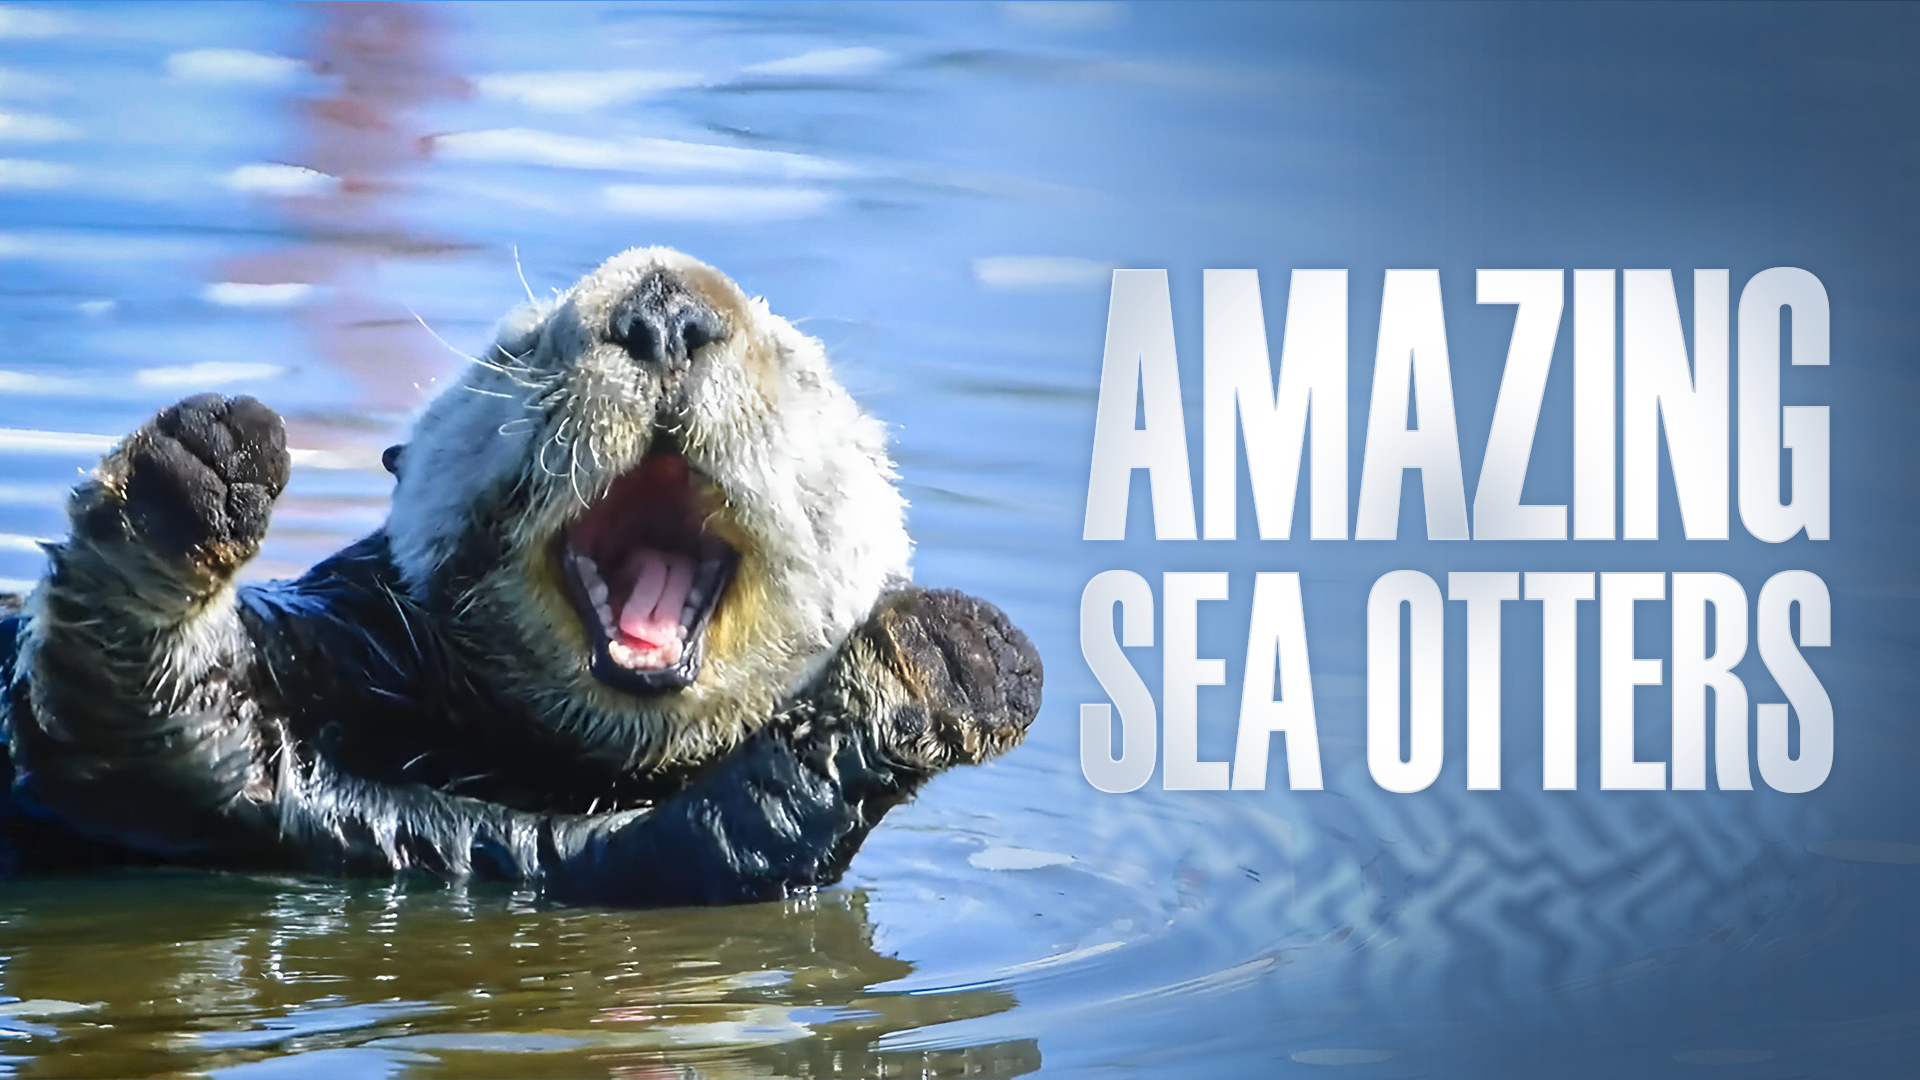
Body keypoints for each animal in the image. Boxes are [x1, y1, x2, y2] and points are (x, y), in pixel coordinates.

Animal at [0, 248, 1042, 906]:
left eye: (799, 369)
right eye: (520, 348)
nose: (667, 314)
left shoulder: (589, 858)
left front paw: (951, 658)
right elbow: (124, 709)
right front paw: (197, 474)